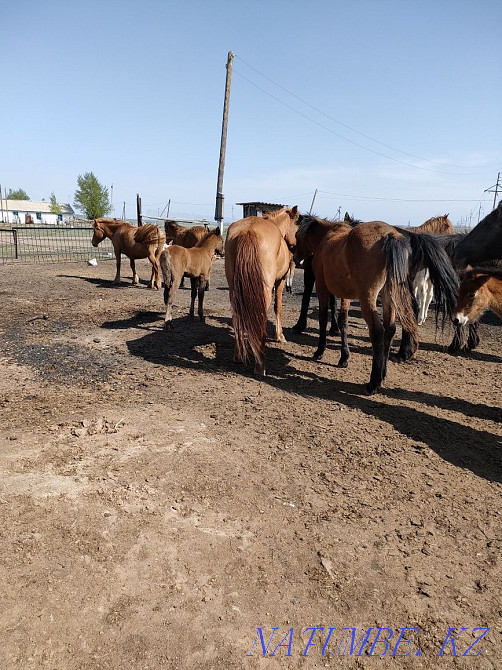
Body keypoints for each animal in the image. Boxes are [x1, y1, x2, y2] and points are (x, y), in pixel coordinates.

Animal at [225, 206, 300, 375]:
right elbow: (278, 307)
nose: (295, 246)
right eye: (297, 227)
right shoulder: (280, 280)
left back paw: (238, 355)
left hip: (234, 289)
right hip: (263, 291)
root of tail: (248, 231)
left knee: (237, 315)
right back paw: (260, 364)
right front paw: (280, 336)